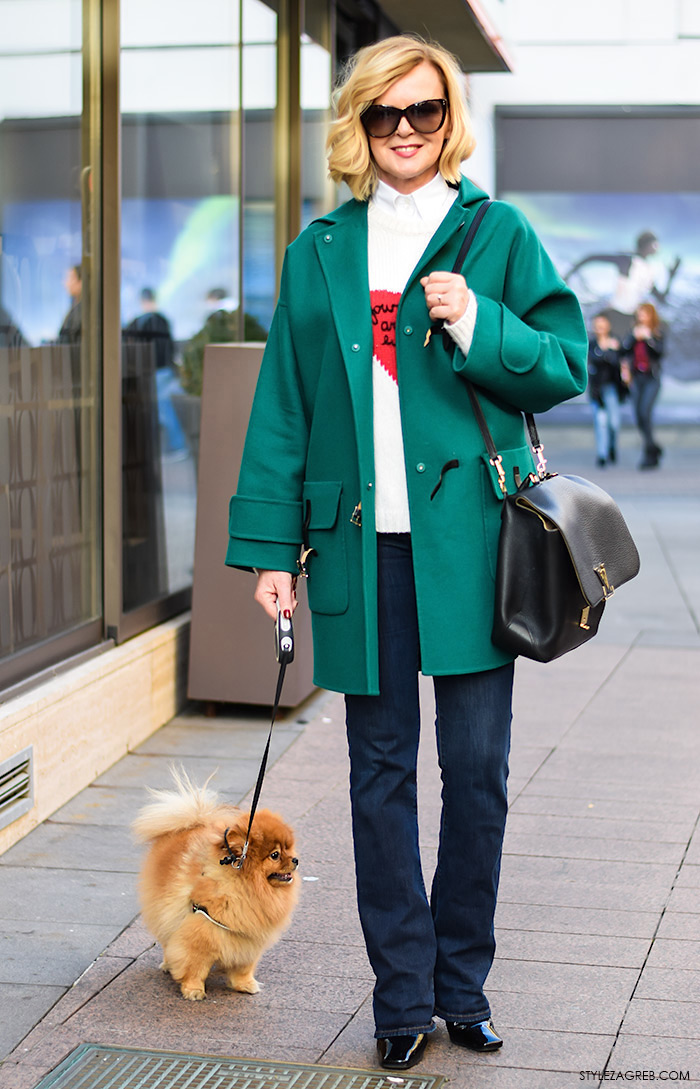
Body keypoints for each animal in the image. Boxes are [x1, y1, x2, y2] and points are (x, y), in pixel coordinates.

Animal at [132, 771, 298, 997]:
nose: (296, 860)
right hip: (164, 912)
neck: (242, 888)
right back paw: (168, 964)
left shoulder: (247, 940)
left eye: (289, 850)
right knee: (168, 941)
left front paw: (245, 984)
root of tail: (194, 821)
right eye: (275, 855)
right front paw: (193, 990)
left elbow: (243, 968)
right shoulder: (198, 933)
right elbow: (194, 966)